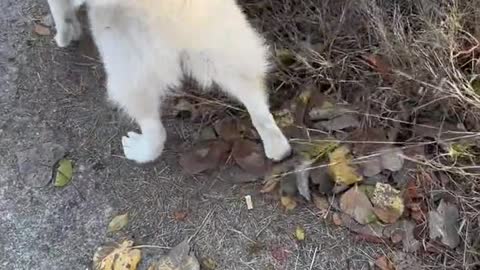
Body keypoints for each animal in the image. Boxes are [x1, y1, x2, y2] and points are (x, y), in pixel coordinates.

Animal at [47, 0, 290, 163]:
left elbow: (59, 10)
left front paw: (64, 35)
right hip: (223, 42)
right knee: (256, 103)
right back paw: (276, 144)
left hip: (126, 59)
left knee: (154, 127)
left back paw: (142, 149)